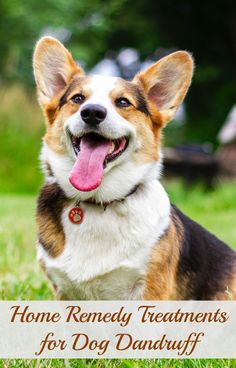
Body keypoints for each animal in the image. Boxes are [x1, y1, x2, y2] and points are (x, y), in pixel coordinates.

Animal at [33, 36, 236, 300]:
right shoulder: (64, 291)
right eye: (77, 99)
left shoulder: (148, 290)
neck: (99, 202)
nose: (92, 112)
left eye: (123, 102)